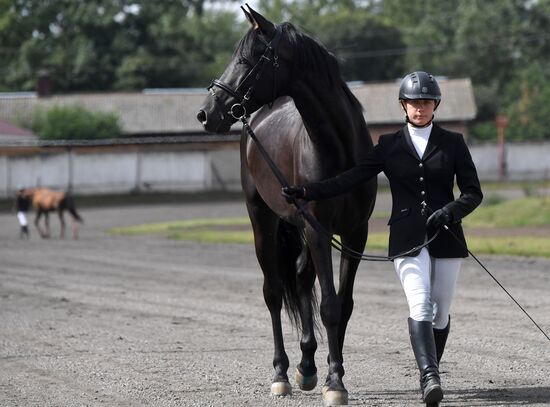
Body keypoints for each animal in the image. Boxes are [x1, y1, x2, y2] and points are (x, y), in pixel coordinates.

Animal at [198, 6, 380, 407]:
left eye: (246, 59)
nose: (206, 113)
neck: (338, 149)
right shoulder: (317, 230)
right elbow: (328, 305)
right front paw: (335, 383)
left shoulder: (354, 234)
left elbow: (343, 305)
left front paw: (332, 375)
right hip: (263, 222)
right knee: (274, 292)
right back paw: (281, 373)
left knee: (299, 278)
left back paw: (306, 366)